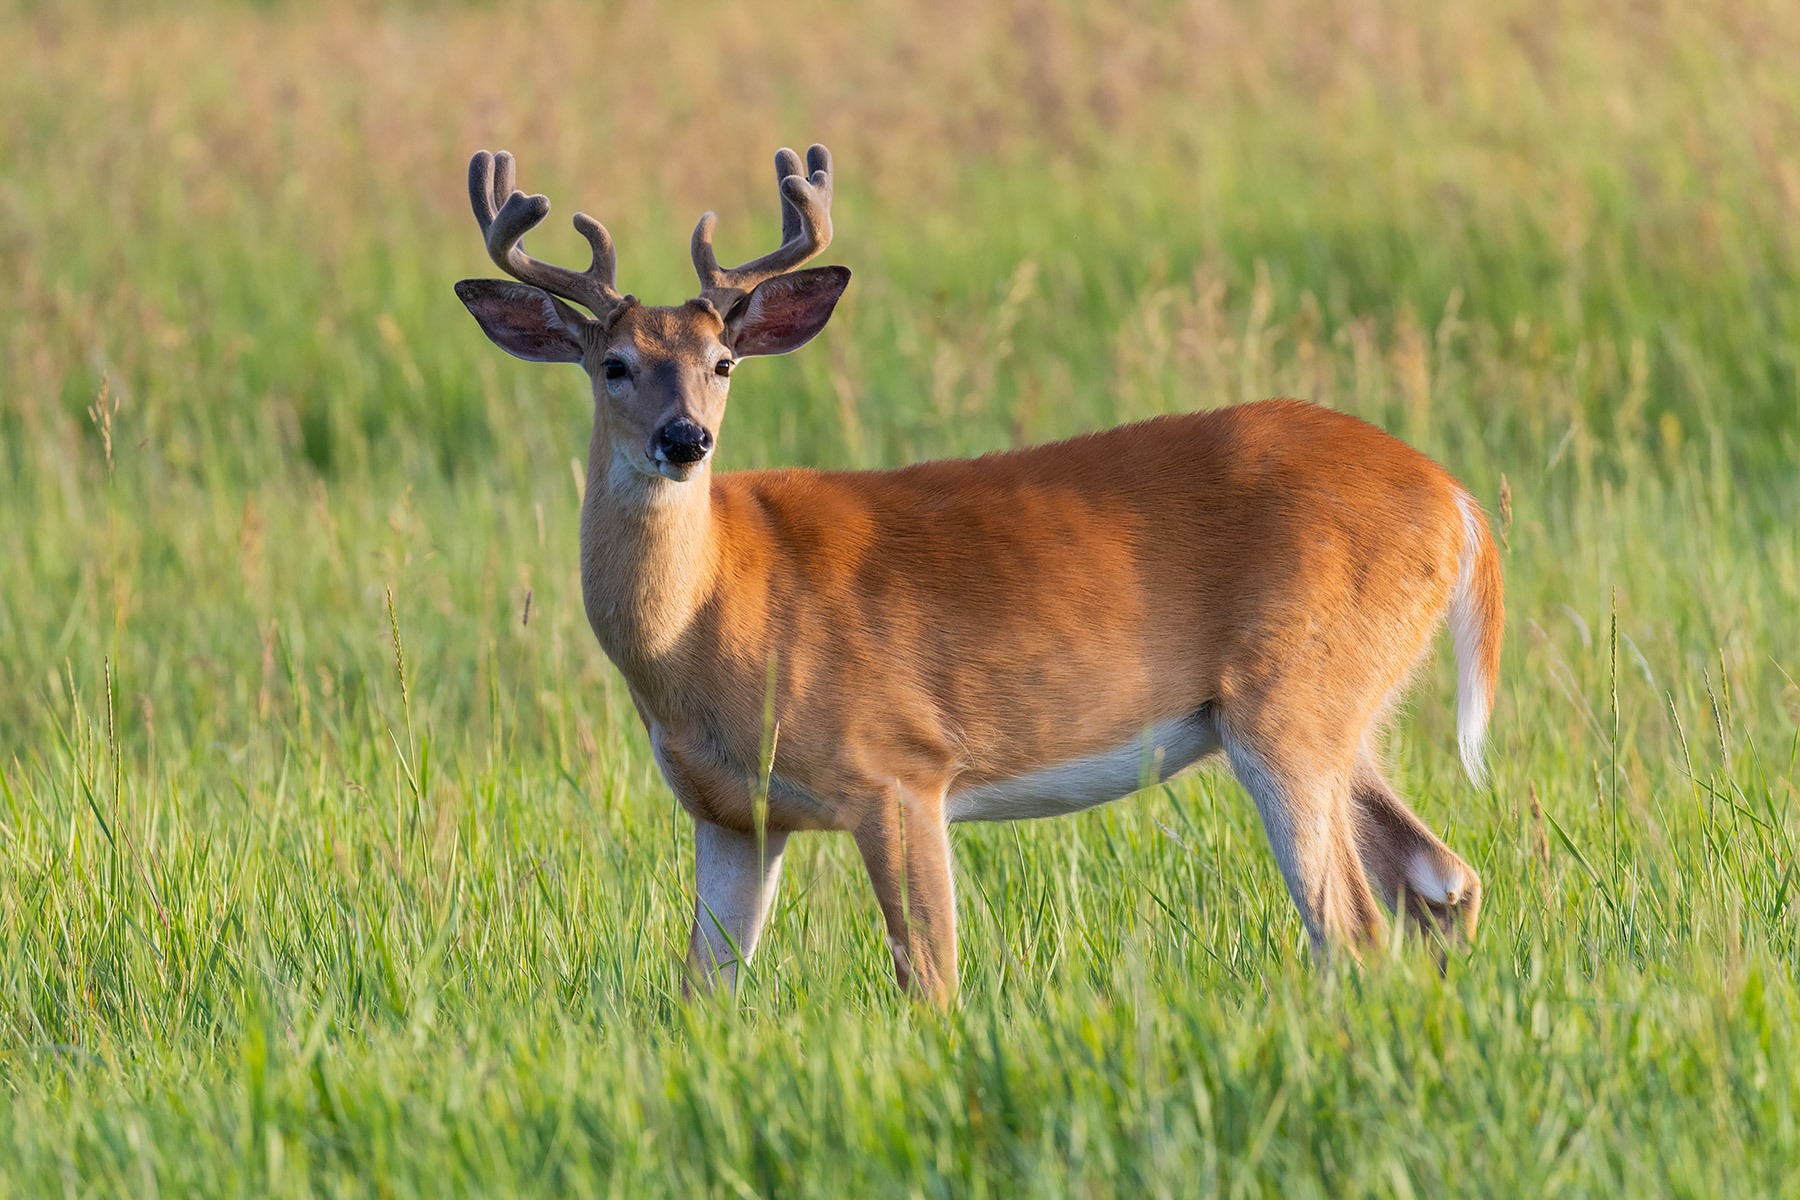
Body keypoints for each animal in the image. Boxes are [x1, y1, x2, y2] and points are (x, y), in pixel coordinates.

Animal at [453, 143, 1504, 1007]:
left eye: (723, 361)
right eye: (614, 364)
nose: (685, 439)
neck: (719, 611)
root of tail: (1456, 501)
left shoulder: (898, 767)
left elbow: (932, 980)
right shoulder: (732, 814)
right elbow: (700, 993)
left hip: (1290, 700)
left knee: (1353, 928)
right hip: (1340, 711)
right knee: (1441, 880)